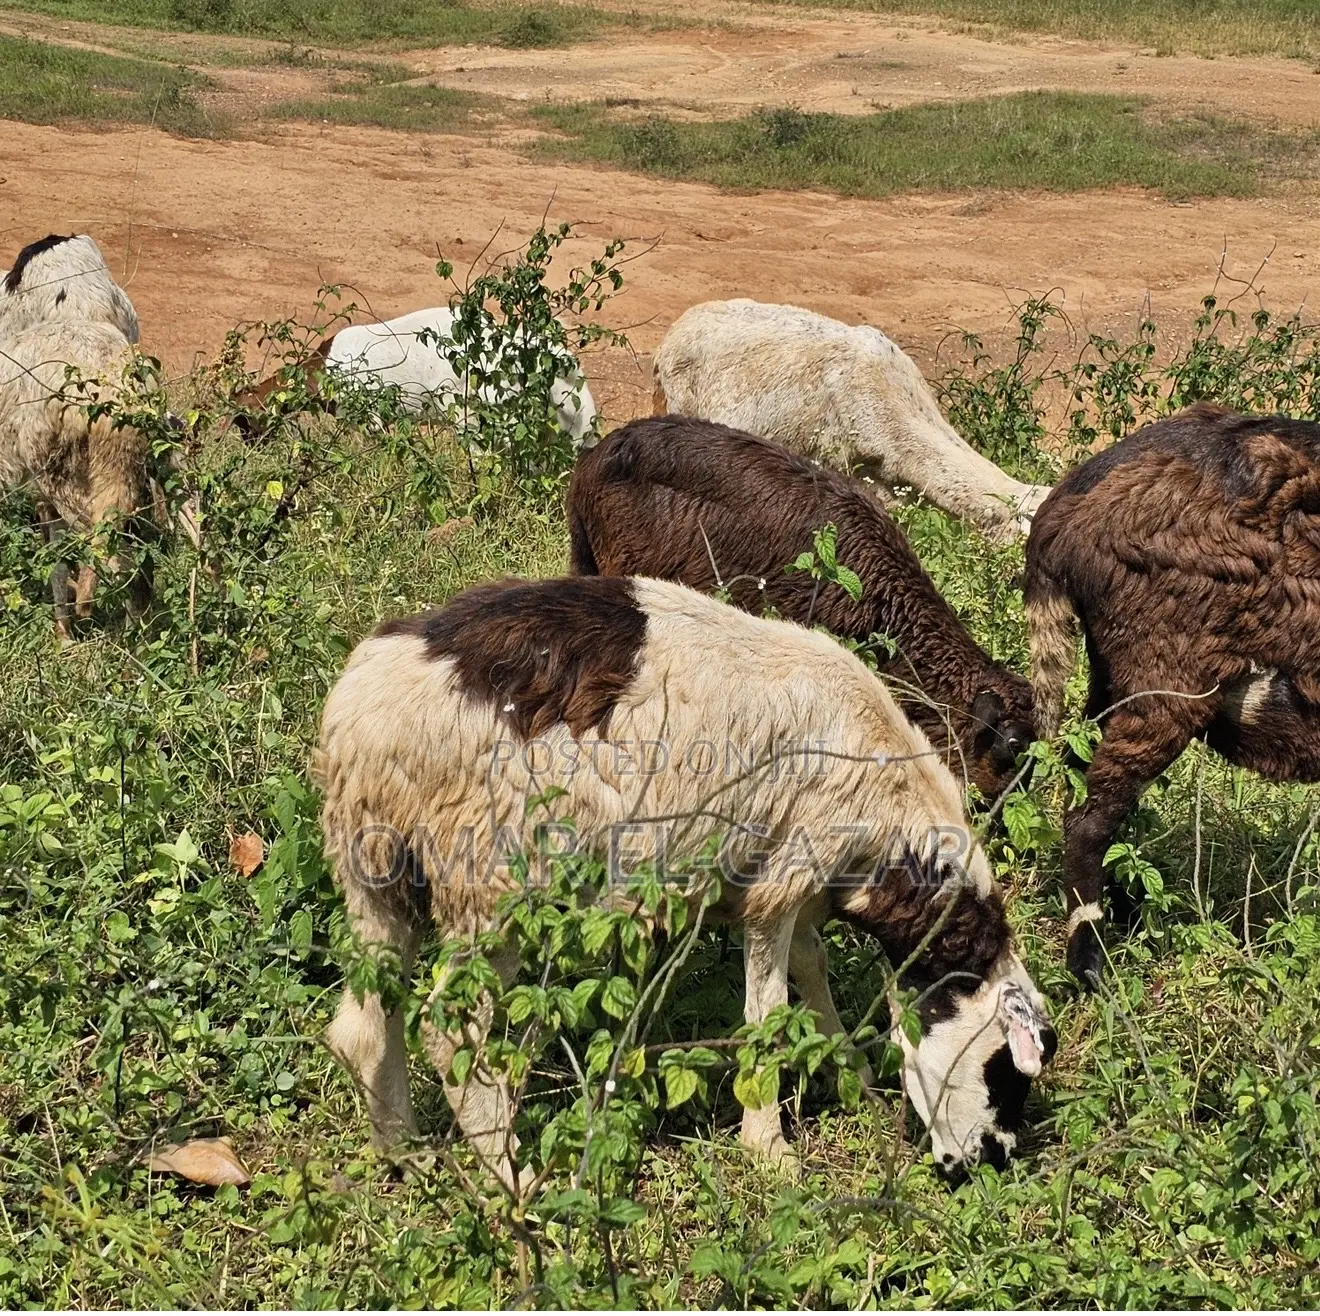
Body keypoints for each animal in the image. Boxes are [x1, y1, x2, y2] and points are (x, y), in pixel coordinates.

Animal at [316, 574, 1055, 1192]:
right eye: (1004, 1075)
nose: (987, 1165)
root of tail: (359, 717)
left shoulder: (797, 882)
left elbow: (811, 969)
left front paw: (851, 1070)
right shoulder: (783, 879)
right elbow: (769, 1011)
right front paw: (769, 1148)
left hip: (376, 870)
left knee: (363, 1025)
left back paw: (404, 1153)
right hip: (491, 885)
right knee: (451, 1032)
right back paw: (515, 1184)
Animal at [1024, 402, 1320, 987]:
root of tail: (1059, 514)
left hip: (1112, 678)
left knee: (1081, 777)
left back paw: (1126, 912)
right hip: (1165, 684)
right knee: (1087, 818)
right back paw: (1092, 963)